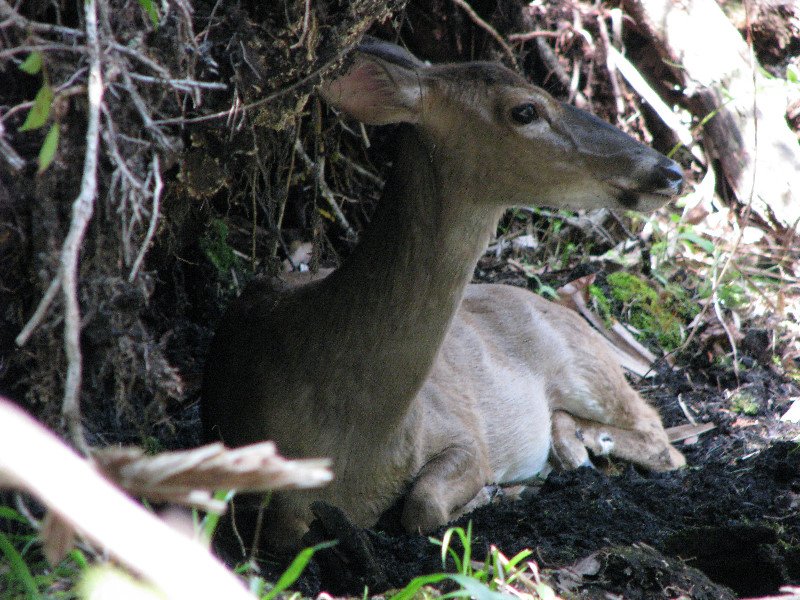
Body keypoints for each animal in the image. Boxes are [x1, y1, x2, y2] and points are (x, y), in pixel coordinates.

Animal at [202, 35, 688, 548]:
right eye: (525, 110)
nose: (671, 171)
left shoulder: (461, 432)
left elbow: (424, 504)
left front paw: (495, 493)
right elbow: (297, 527)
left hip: (587, 366)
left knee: (659, 436)